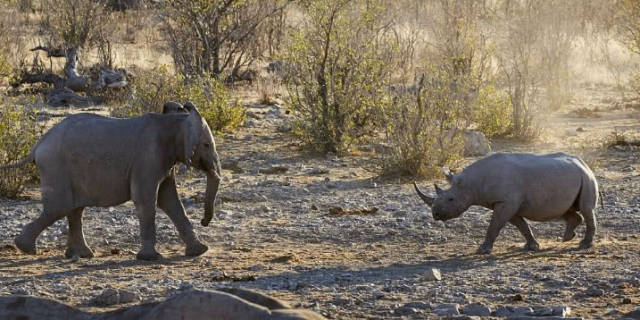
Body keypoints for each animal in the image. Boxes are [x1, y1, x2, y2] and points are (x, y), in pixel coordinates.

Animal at [0, 102, 220, 260]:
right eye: (206, 145)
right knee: (59, 207)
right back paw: (26, 248)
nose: (204, 221)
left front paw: (200, 251)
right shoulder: (148, 159)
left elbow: (170, 202)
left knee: (73, 209)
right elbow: (146, 199)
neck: (175, 121)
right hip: (55, 167)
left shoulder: (164, 161)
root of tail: (38, 146)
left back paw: (81, 255)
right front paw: (151, 258)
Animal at [416, 152, 600, 255]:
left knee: (586, 208)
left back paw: (584, 245)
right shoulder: (508, 203)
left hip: (586, 177)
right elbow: (521, 225)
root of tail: (584, 163)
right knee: (564, 210)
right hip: (571, 177)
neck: (472, 183)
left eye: (451, 199)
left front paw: (482, 251)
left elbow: (494, 226)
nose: (435, 215)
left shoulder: (506, 202)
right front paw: (532, 246)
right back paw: (567, 238)